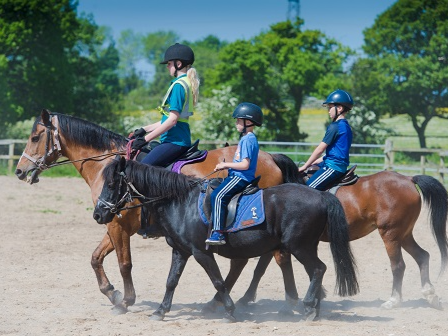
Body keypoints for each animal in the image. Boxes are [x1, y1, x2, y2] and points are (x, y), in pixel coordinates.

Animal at [14, 109, 300, 314]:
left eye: (35, 138)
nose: (19, 170)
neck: (108, 166)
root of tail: (271, 157)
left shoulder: (117, 224)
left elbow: (124, 263)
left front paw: (125, 300)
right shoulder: (112, 222)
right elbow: (96, 258)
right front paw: (112, 292)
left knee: (273, 258)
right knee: (252, 260)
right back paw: (227, 300)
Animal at [93, 156, 358, 322]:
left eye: (112, 183)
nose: (98, 214)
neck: (181, 202)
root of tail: (321, 196)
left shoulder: (201, 252)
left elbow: (218, 281)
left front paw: (229, 311)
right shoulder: (180, 251)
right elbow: (171, 281)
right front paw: (160, 311)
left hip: (300, 247)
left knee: (318, 269)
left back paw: (307, 305)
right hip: (304, 247)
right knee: (313, 271)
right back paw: (313, 308)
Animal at [234, 167, 448, 312]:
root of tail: (408, 178)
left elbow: (261, 268)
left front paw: (245, 298)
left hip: (391, 235)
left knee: (399, 266)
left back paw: (394, 300)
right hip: (404, 235)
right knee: (422, 256)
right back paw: (430, 294)